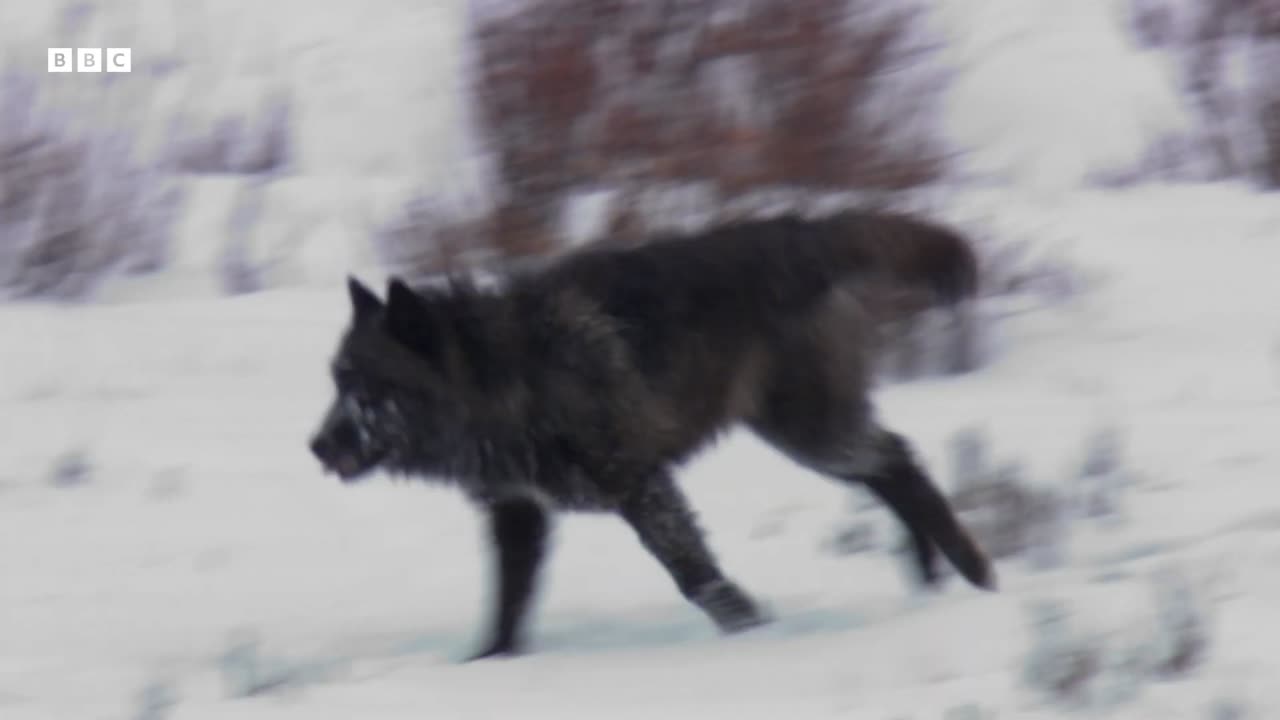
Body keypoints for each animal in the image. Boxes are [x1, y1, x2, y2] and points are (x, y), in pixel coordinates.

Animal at [309, 206, 998, 655]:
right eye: (337, 381)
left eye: (369, 389)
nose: (316, 446)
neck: (504, 373)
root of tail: (795, 232)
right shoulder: (519, 514)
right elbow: (507, 603)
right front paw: (489, 666)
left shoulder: (640, 485)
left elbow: (695, 575)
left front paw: (752, 631)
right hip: (809, 434)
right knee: (890, 468)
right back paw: (931, 580)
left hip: (812, 433)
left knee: (899, 460)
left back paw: (973, 575)